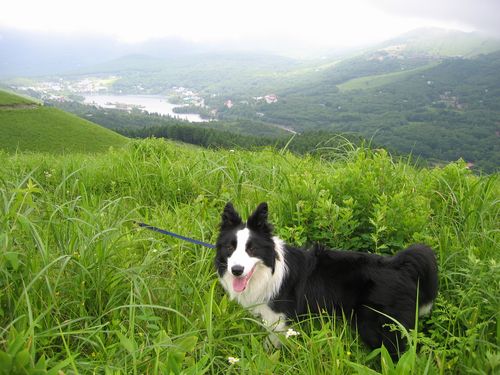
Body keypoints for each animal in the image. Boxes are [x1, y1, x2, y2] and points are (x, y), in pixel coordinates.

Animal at [215, 203, 438, 356]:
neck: (268, 270)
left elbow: (270, 349)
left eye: (252, 249)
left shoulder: (277, 321)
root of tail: (400, 265)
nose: (236, 270)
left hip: (380, 329)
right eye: (230, 247)